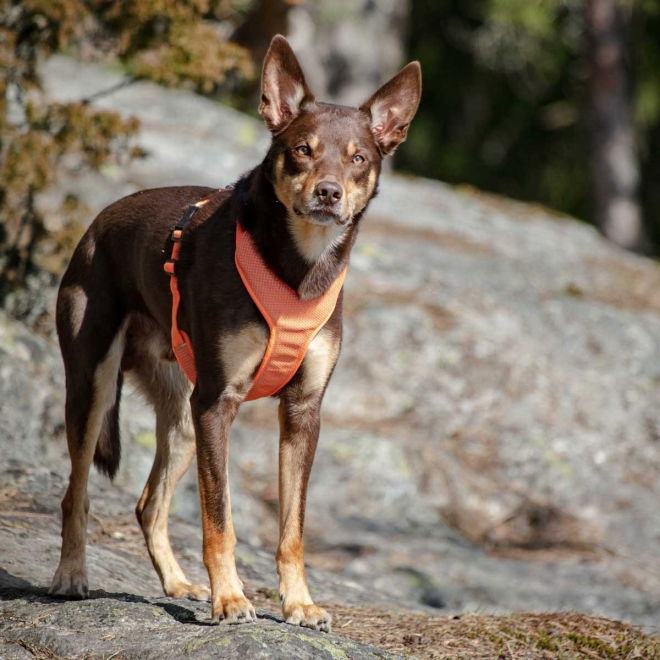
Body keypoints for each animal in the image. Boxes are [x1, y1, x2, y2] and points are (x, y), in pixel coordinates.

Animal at [50, 33, 422, 632]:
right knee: (76, 493)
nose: (328, 193)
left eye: (359, 158)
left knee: (149, 504)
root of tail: (95, 224)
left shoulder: (301, 412)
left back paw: (177, 583)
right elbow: (219, 519)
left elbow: (292, 529)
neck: (297, 268)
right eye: (302, 149)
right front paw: (229, 599)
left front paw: (299, 604)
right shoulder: (218, 403)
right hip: (96, 386)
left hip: (183, 417)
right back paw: (71, 576)